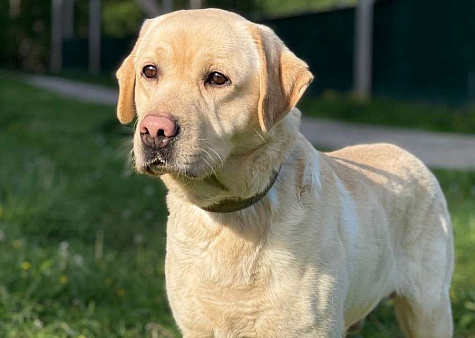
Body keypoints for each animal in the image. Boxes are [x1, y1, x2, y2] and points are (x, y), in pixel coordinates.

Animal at [117, 8, 456, 338]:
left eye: (217, 78)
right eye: (150, 71)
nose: (154, 131)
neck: (234, 214)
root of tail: (408, 154)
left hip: (429, 311)